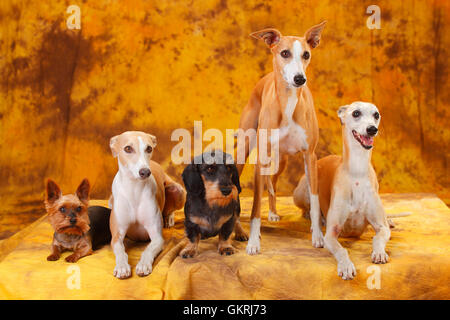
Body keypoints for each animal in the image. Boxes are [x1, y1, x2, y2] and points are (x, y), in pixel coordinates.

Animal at [110, 131, 185, 278]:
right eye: (128, 148)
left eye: (149, 148)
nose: (145, 172)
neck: (134, 190)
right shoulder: (116, 236)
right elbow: (120, 251)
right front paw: (122, 266)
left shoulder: (157, 237)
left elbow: (148, 250)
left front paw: (144, 264)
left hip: (177, 189)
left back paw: (169, 218)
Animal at [294, 101, 400, 278]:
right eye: (356, 113)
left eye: (376, 115)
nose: (372, 129)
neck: (357, 172)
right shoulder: (331, 233)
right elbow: (341, 250)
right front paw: (346, 266)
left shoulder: (381, 227)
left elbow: (378, 238)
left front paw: (379, 253)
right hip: (302, 190)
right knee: (309, 208)